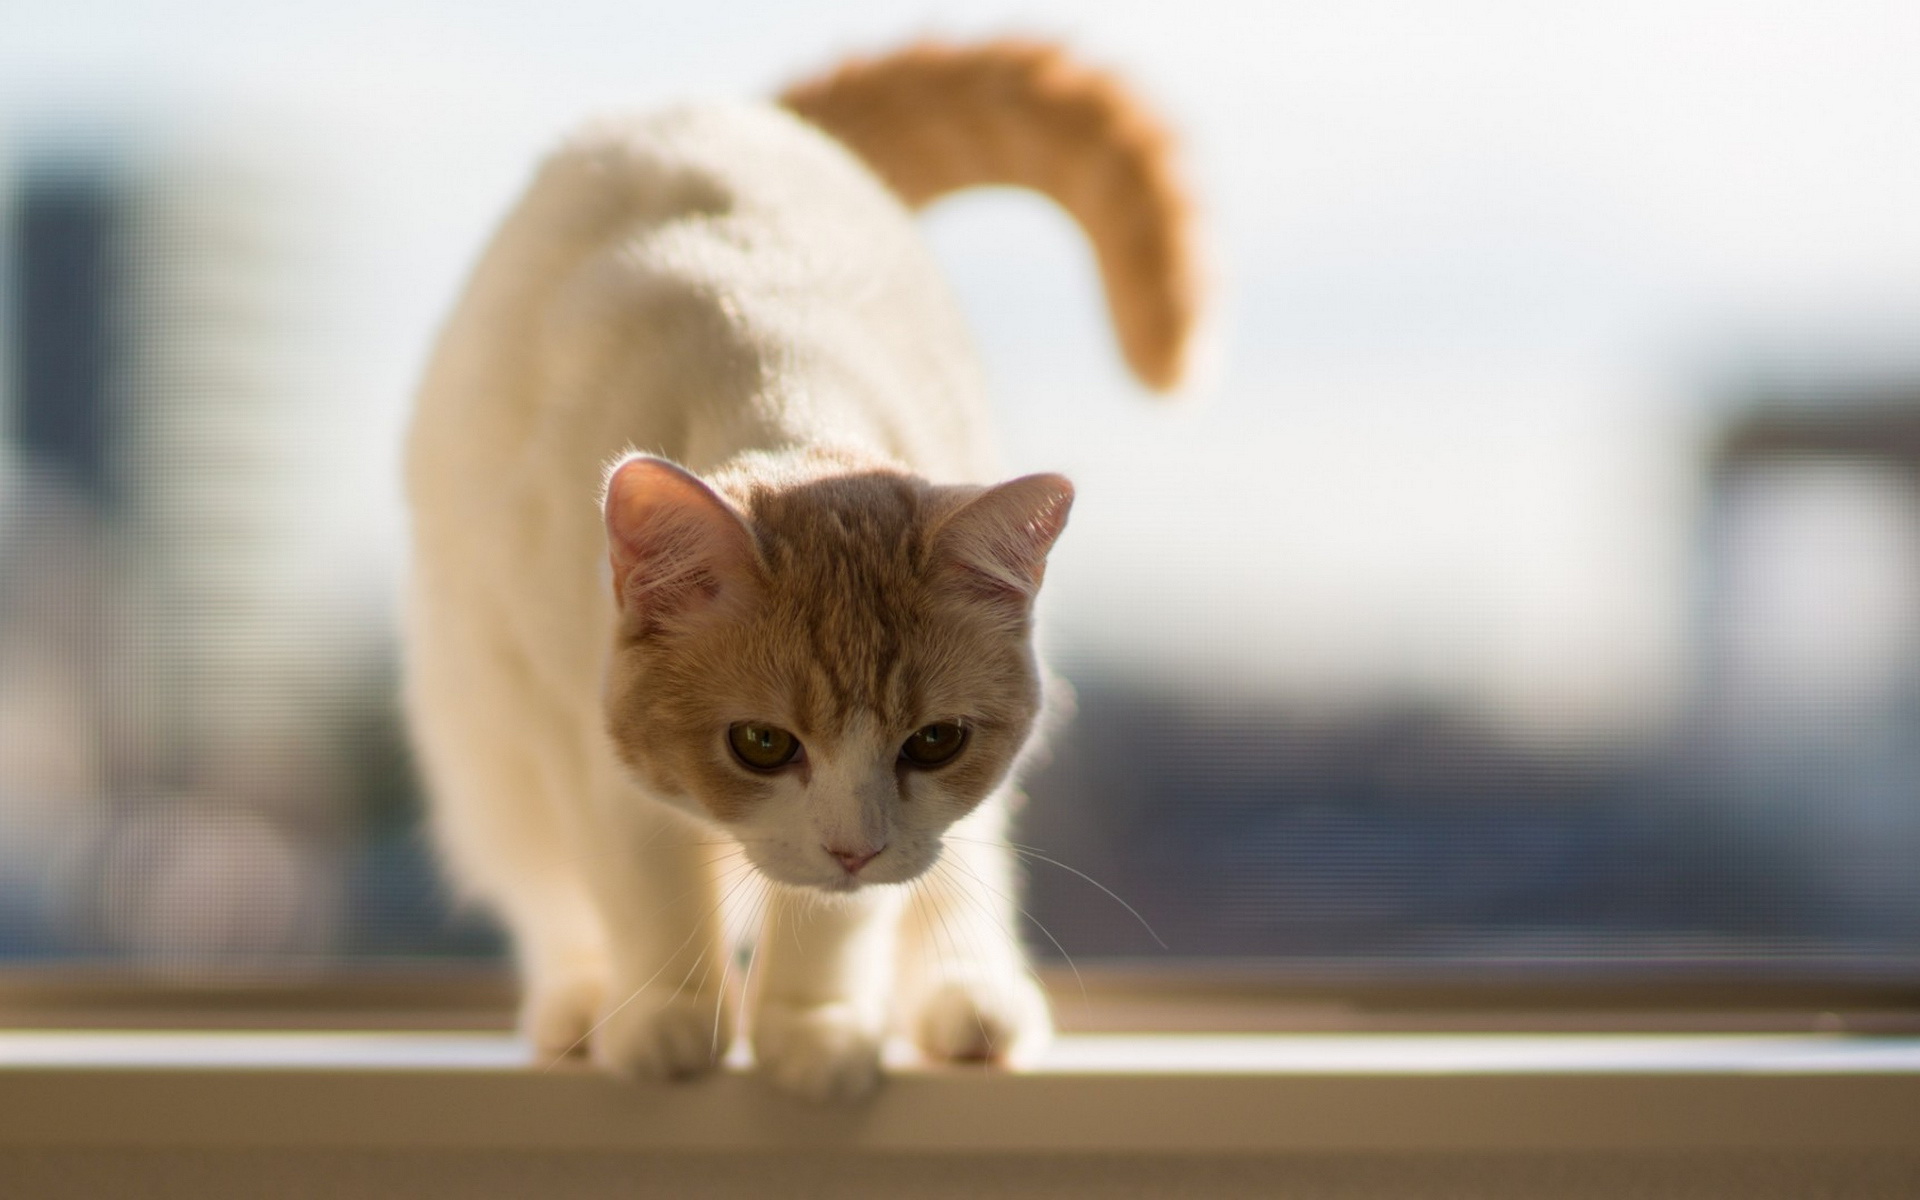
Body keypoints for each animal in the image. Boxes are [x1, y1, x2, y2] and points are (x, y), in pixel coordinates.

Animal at [405, 42, 1198, 1098]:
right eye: (760, 745)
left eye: (935, 742)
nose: (853, 848)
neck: (780, 389)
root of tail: (739, 114)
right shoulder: (581, 727)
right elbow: (644, 877)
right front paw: (670, 1018)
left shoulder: (905, 829)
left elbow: (840, 915)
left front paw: (810, 1030)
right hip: (487, 740)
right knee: (545, 886)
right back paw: (580, 1005)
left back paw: (969, 1002)